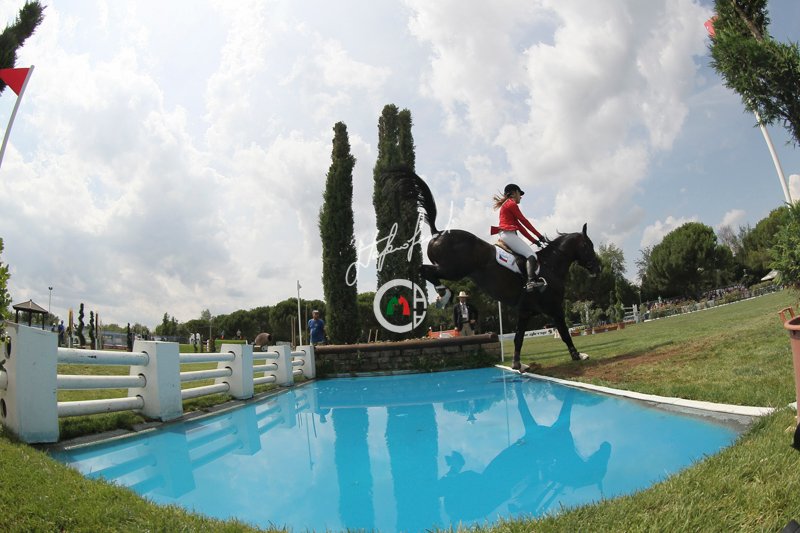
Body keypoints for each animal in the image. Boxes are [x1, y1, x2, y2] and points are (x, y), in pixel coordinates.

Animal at [385, 169, 601, 370]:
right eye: (588, 246)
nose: (597, 268)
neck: (551, 265)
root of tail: (438, 233)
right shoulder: (555, 307)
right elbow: (564, 333)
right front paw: (578, 355)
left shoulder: (525, 311)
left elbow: (519, 338)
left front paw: (518, 365)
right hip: (453, 270)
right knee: (426, 270)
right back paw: (444, 296)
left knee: (423, 270)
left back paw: (441, 296)